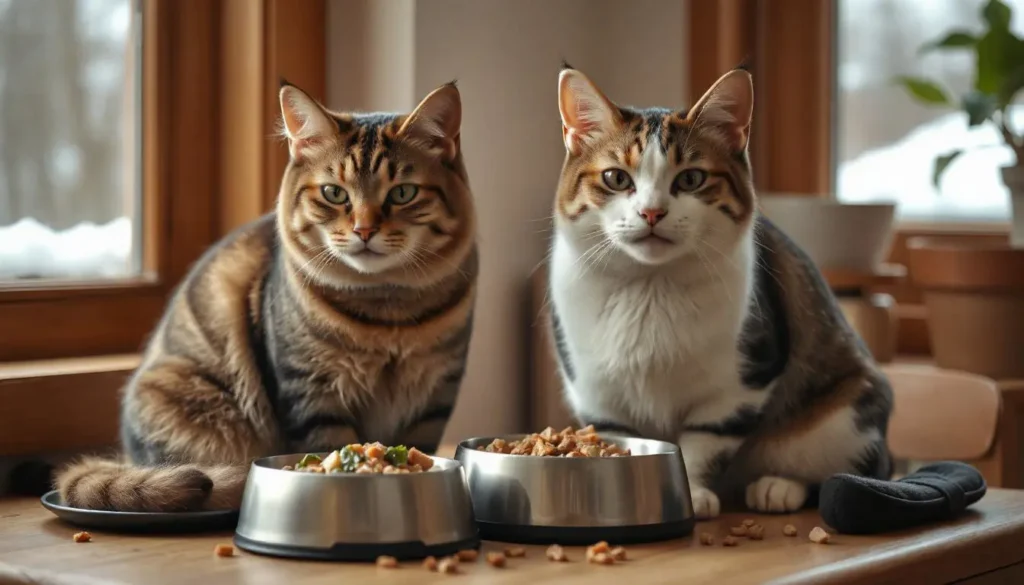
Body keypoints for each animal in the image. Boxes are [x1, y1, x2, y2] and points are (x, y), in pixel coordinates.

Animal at [58, 79, 481, 510]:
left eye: (403, 193)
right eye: (334, 193)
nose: (364, 230)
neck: (387, 307)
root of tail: (129, 461)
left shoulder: (435, 397)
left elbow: (419, 445)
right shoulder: (312, 392)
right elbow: (332, 444)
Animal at [548, 66, 892, 520]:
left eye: (691, 178)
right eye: (616, 178)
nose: (652, 212)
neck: (649, 287)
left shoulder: (740, 386)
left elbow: (702, 442)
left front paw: (692, 492)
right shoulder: (598, 397)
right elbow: (616, 436)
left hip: (845, 414)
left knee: (844, 468)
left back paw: (778, 487)